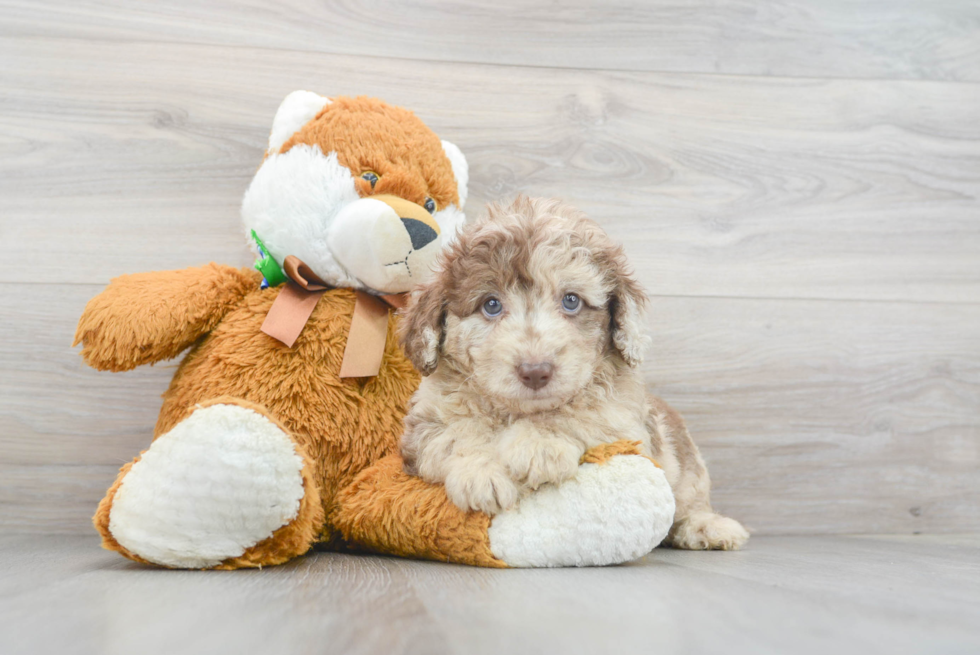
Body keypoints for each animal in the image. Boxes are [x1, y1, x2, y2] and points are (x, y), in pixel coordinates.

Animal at [398, 197, 752, 552]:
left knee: (688, 501)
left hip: (687, 463)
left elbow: (579, 411)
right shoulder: (424, 423)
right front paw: (481, 472)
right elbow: (454, 433)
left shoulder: (623, 420)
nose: (536, 372)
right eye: (491, 305)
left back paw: (708, 527)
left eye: (571, 301)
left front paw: (539, 444)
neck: (517, 411)